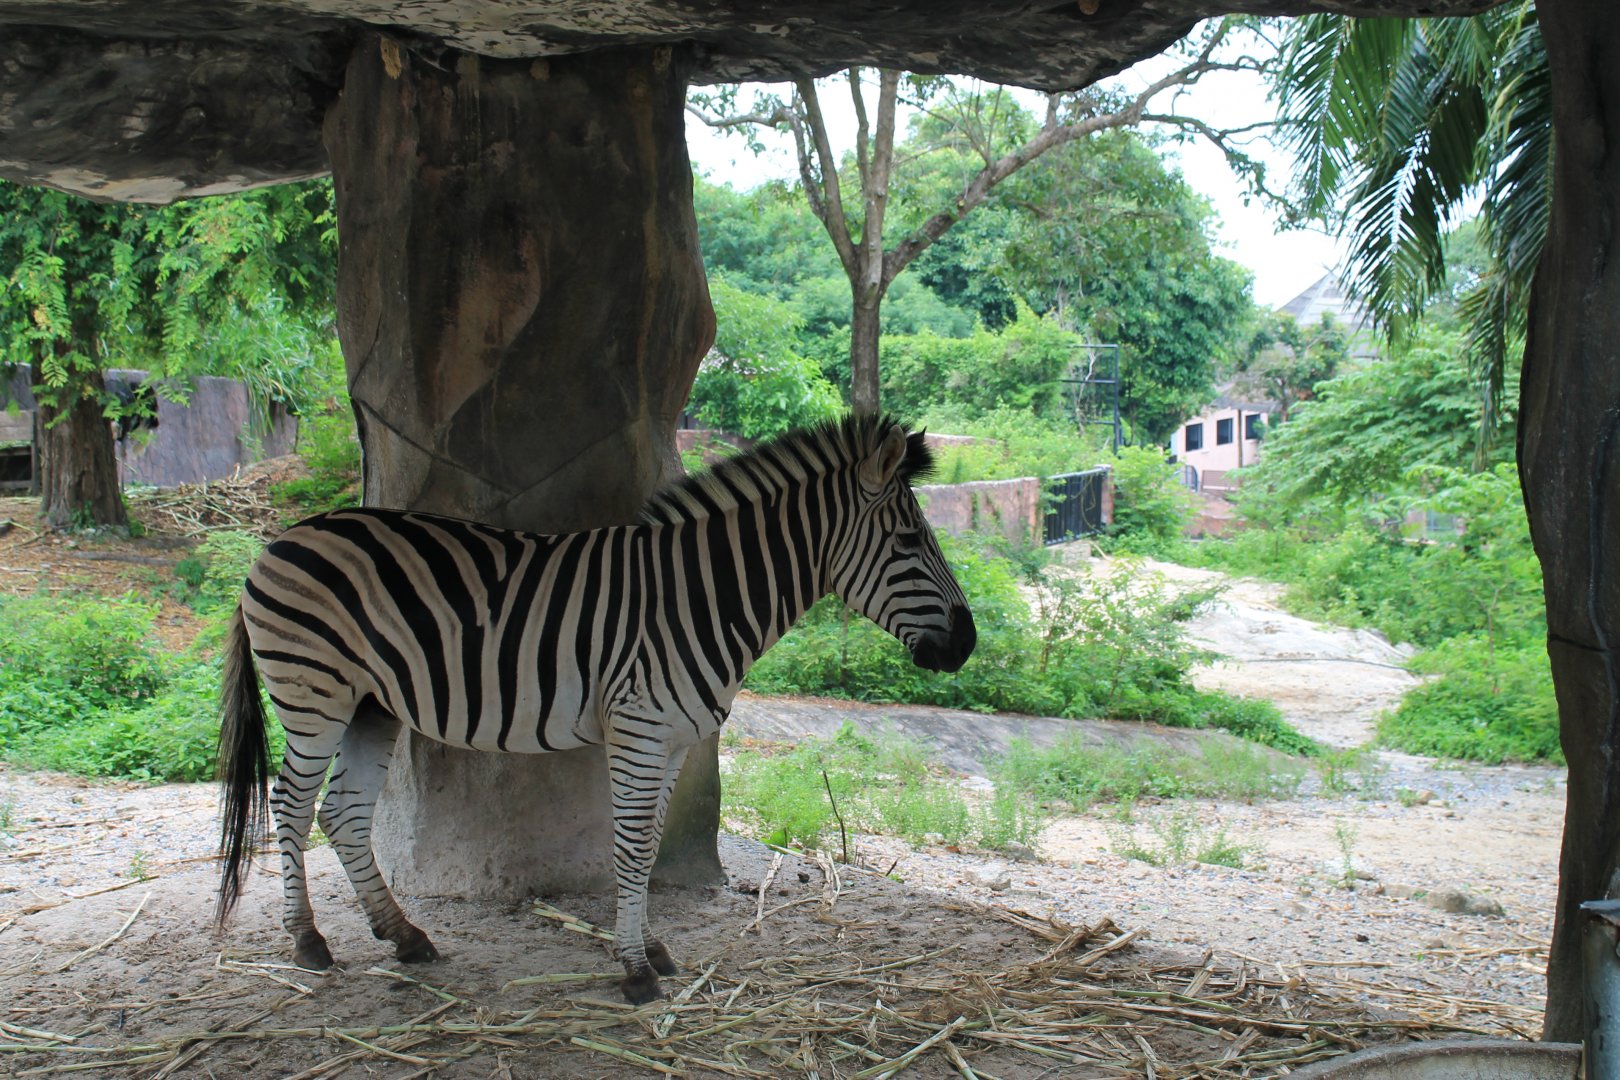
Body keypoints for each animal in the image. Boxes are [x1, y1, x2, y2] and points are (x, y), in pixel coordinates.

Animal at [215, 414, 976, 1004]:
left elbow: (651, 845)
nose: (967, 644)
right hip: (314, 695)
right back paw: (309, 942)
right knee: (291, 805)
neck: (705, 596)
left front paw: (649, 947)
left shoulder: (673, 738)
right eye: (910, 541)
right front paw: (635, 969)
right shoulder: (640, 727)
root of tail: (277, 541)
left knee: (342, 812)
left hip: (370, 705)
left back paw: (403, 935)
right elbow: (634, 846)